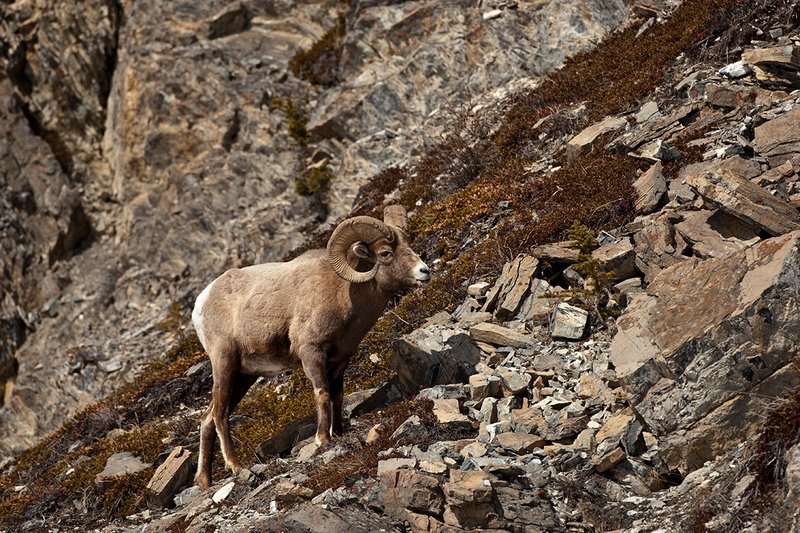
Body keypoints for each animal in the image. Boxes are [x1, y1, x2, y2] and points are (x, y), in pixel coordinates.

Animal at [192, 205, 430, 488]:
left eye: (409, 244)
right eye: (385, 253)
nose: (424, 271)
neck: (342, 292)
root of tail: (202, 302)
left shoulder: (340, 360)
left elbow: (337, 395)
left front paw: (338, 434)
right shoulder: (311, 353)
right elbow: (323, 394)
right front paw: (323, 440)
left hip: (243, 376)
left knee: (208, 418)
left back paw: (204, 481)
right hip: (225, 364)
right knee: (219, 415)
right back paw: (236, 466)